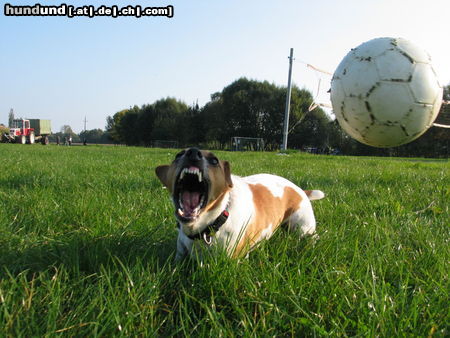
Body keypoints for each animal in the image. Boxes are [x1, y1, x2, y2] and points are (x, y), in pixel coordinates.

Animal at [155, 147, 324, 260]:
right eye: (178, 155)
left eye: (214, 160)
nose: (193, 152)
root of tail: (300, 190)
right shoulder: (181, 252)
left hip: (302, 227)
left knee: (311, 236)